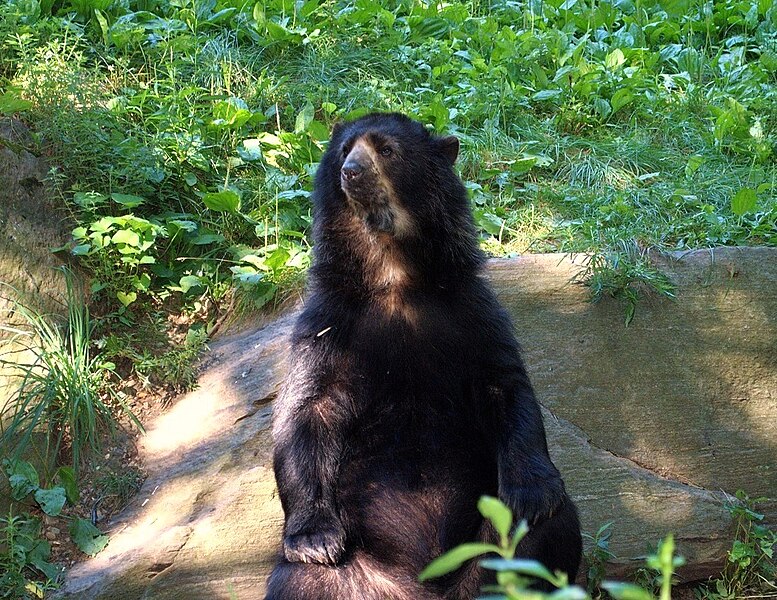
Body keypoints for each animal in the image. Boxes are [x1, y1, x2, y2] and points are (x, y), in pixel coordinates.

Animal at [264, 113, 580, 600]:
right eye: (343, 151)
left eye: (387, 150)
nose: (352, 172)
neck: (394, 274)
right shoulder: (329, 324)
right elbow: (307, 408)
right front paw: (314, 538)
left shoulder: (470, 310)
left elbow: (505, 385)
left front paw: (533, 493)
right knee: (303, 579)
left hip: (492, 554)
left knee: (547, 531)